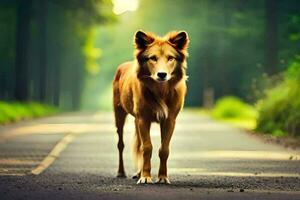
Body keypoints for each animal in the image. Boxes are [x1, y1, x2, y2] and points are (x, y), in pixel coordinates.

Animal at [112, 30, 190, 184]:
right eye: (152, 58)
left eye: (170, 58)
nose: (162, 74)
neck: (160, 91)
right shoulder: (143, 119)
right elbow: (147, 147)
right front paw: (146, 177)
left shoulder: (169, 120)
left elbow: (164, 149)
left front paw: (163, 177)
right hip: (120, 115)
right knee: (121, 144)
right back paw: (121, 172)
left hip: (136, 121)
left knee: (138, 144)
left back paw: (138, 172)